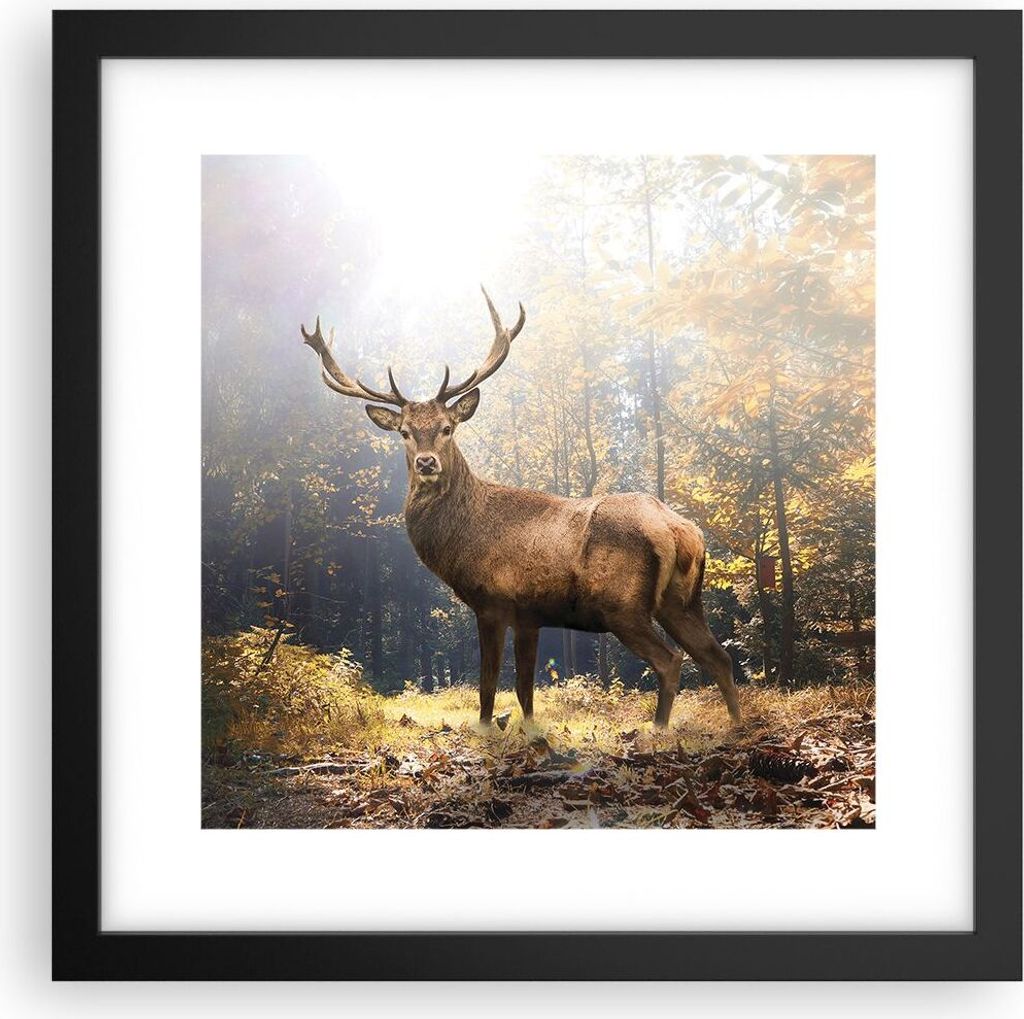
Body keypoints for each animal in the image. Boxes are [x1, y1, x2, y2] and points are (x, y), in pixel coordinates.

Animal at [301, 288, 742, 728]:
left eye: (447, 428)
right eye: (405, 432)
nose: (427, 463)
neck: (463, 540)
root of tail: (680, 530)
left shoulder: (493, 601)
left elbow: (488, 683)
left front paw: (486, 730)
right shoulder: (530, 614)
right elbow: (525, 688)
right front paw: (528, 730)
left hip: (623, 604)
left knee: (671, 660)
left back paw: (658, 729)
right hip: (682, 601)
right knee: (719, 656)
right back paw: (736, 724)